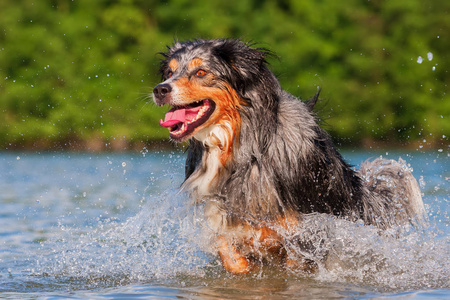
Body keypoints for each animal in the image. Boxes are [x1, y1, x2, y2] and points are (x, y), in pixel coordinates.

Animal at [152, 38, 426, 274]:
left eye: (201, 72)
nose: (159, 90)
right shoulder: (225, 220)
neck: (241, 147)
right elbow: (229, 253)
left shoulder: (304, 231)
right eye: (170, 73)